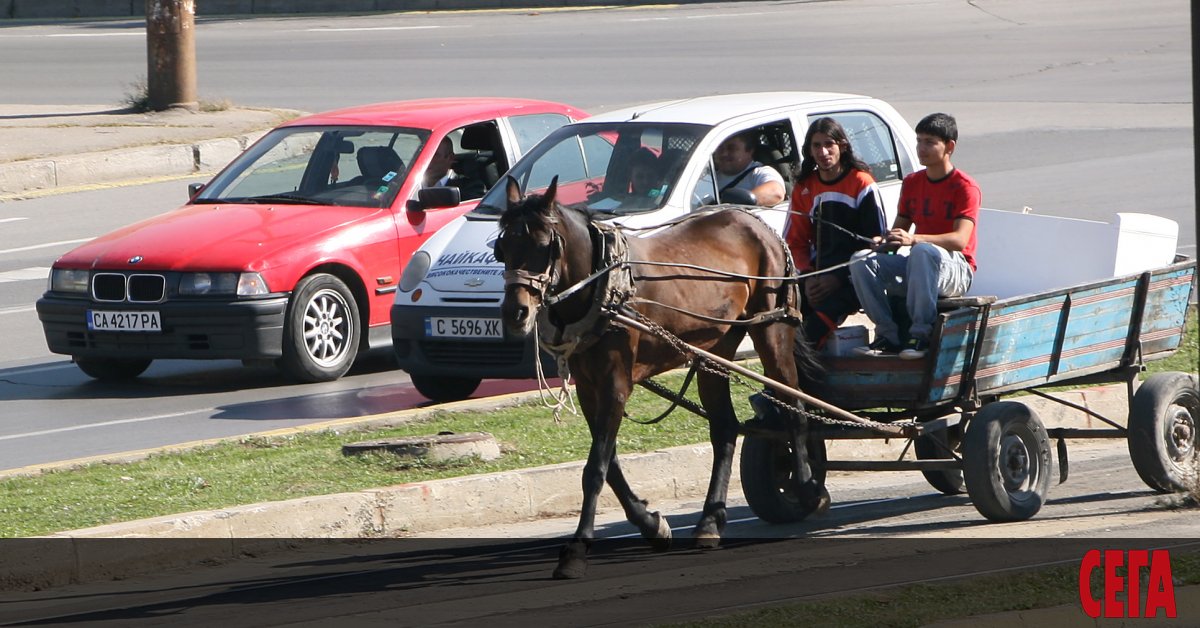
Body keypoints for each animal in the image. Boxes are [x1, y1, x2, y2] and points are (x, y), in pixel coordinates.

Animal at [489, 176, 825, 581]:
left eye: (544, 245)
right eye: (502, 247)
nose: (515, 312)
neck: (603, 287)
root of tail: (759, 225)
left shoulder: (616, 382)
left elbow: (596, 468)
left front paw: (577, 550)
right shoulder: (588, 387)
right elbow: (611, 464)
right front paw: (652, 524)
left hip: (772, 329)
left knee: (793, 405)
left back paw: (807, 487)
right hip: (715, 349)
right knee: (725, 428)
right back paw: (710, 520)